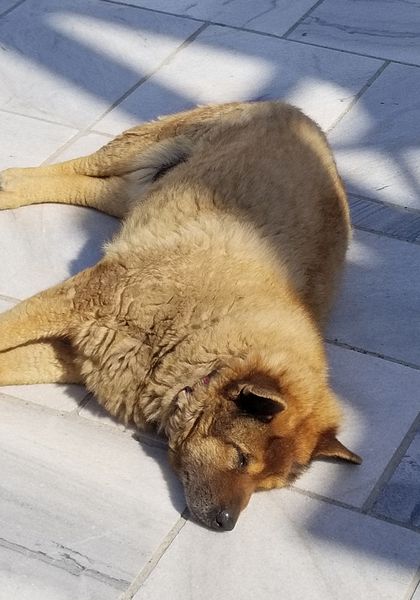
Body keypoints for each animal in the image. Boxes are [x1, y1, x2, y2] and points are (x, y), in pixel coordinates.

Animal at [0, 102, 360, 528]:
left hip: (143, 188)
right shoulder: (83, 299)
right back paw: (13, 183)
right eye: (241, 458)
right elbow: (8, 329)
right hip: (148, 145)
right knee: (85, 165)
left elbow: (9, 364)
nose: (226, 523)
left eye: (263, 487)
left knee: (96, 188)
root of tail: (300, 114)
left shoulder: (78, 357)